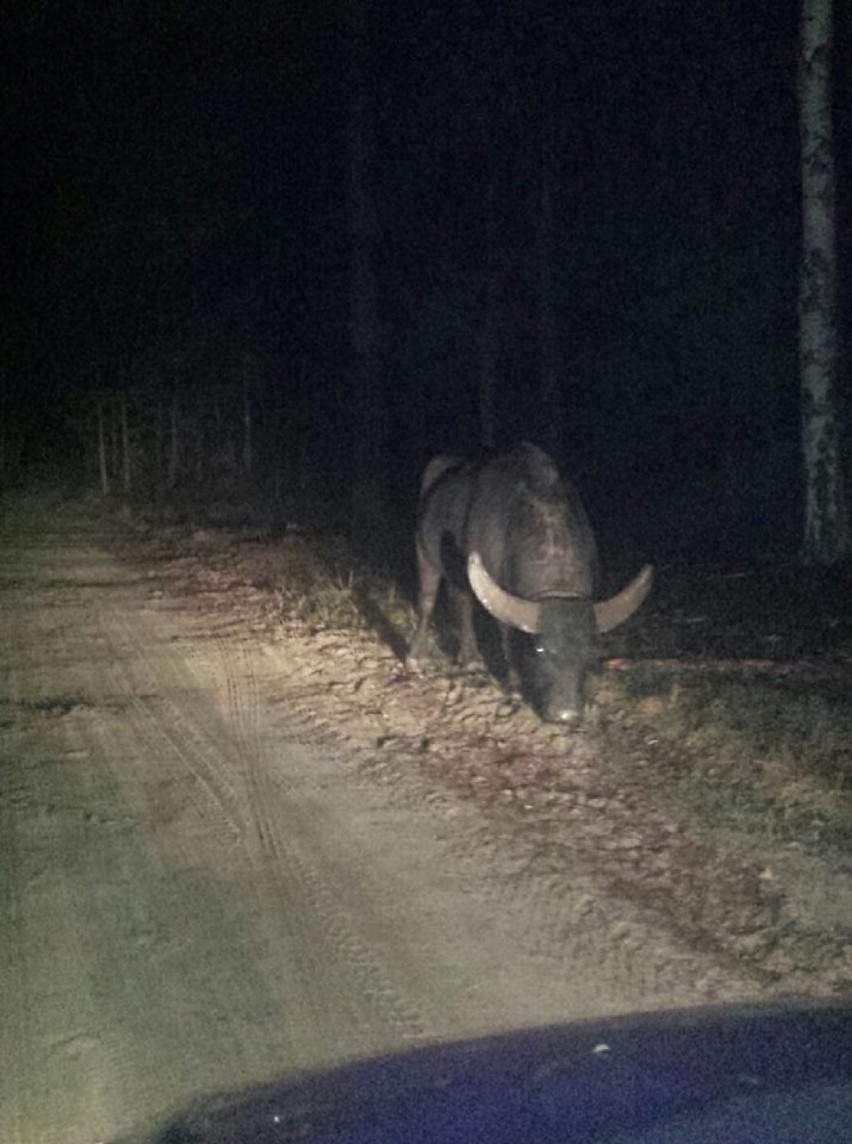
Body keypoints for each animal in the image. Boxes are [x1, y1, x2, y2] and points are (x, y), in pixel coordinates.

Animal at [404, 443, 649, 723]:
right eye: (540, 650)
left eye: (590, 651)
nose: (566, 714)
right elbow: (509, 644)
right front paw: (515, 691)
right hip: (425, 555)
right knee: (427, 603)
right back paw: (416, 658)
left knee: (462, 604)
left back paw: (471, 660)